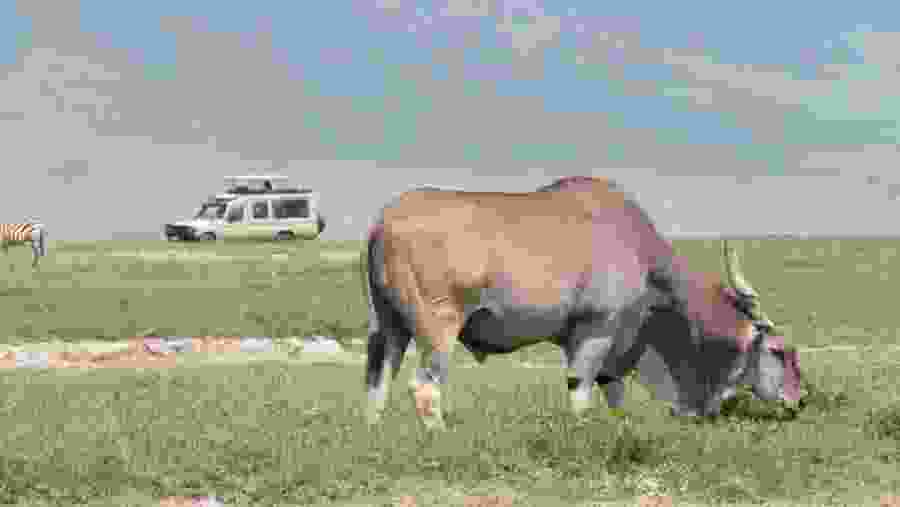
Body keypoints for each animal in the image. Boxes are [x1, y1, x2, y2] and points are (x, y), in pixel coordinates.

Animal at [361, 176, 802, 431]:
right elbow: (581, 389)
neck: (640, 250)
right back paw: (439, 437)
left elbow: (614, 391)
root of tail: (384, 224)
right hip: (438, 327)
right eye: (779, 351)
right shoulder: (595, 330)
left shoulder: (618, 345)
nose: (799, 400)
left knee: (378, 381)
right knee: (424, 386)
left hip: (389, 327)